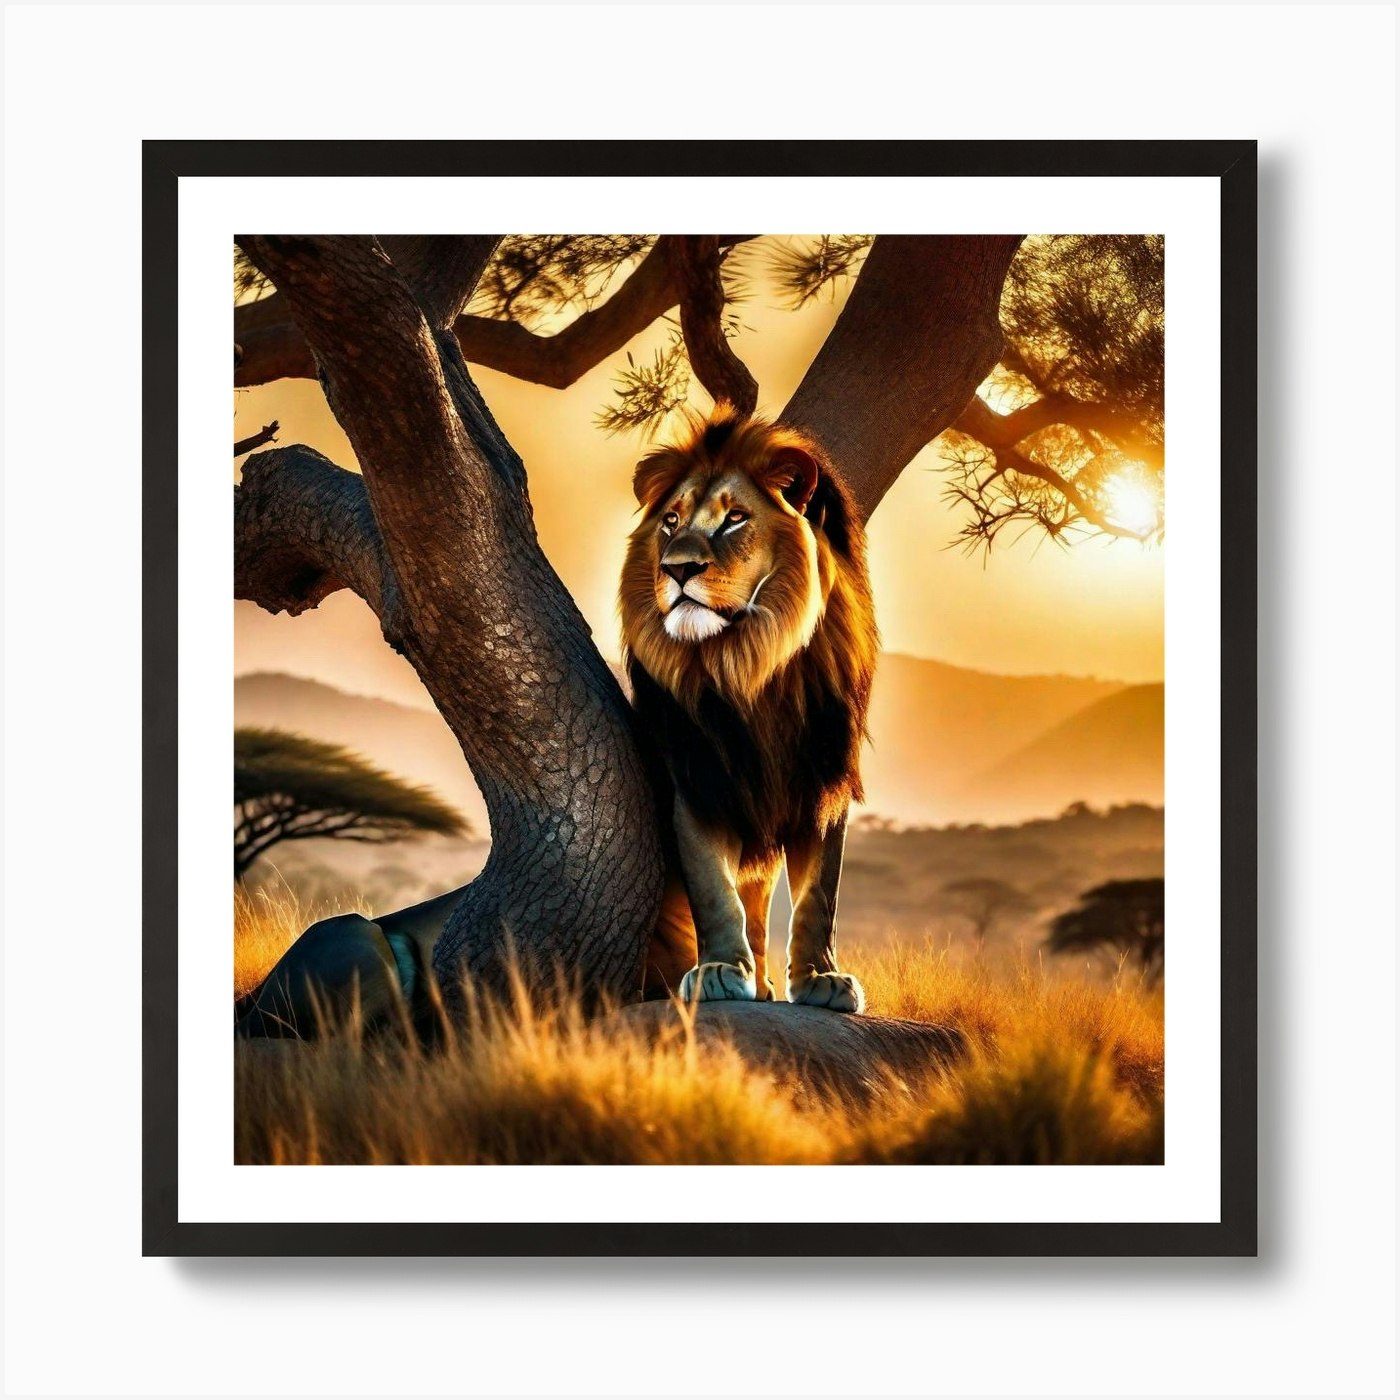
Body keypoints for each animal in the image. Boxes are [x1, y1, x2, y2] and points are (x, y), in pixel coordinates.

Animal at [620, 406, 878, 1011]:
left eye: (734, 518)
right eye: (670, 521)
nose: (676, 568)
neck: (747, 666)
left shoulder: (824, 781)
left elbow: (818, 897)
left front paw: (821, 979)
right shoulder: (698, 783)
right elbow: (716, 892)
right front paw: (718, 971)